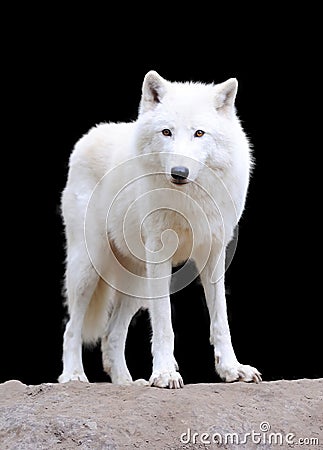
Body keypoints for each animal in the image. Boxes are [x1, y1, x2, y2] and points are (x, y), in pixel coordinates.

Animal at [59, 70, 264, 386]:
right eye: (166, 132)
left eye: (199, 133)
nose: (179, 172)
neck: (189, 199)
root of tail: (90, 134)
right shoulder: (160, 255)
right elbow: (164, 322)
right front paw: (165, 373)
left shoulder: (214, 254)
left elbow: (221, 319)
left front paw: (232, 369)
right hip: (88, 268)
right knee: (73, 328)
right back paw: (73, 375)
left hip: (136, 281)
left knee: (111, 335)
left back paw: (127, 383)